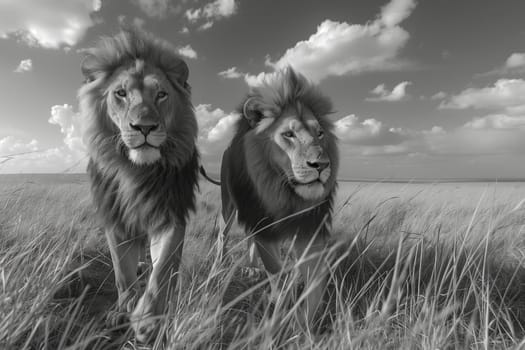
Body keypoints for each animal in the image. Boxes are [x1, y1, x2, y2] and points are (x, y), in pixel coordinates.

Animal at [78, 29, 199, 342]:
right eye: (120, 93)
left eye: (161, 94)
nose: (144, 127)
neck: (137, 172)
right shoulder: (116, 220)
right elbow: (122, 272)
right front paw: (123, 310)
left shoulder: (170, 215)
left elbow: (163, 268)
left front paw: (147, 320)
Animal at [218, 67, 338, 330]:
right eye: (288, 134)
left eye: (320, 133)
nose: (322, 165)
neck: (285, 195)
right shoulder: (264, 227)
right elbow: (279, 276)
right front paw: (280, 313)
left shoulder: (310, 230)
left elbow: (316, 283)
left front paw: (302, 325)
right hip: (228, 206)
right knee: (222, 235)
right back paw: (219, 266)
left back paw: (252, 269)